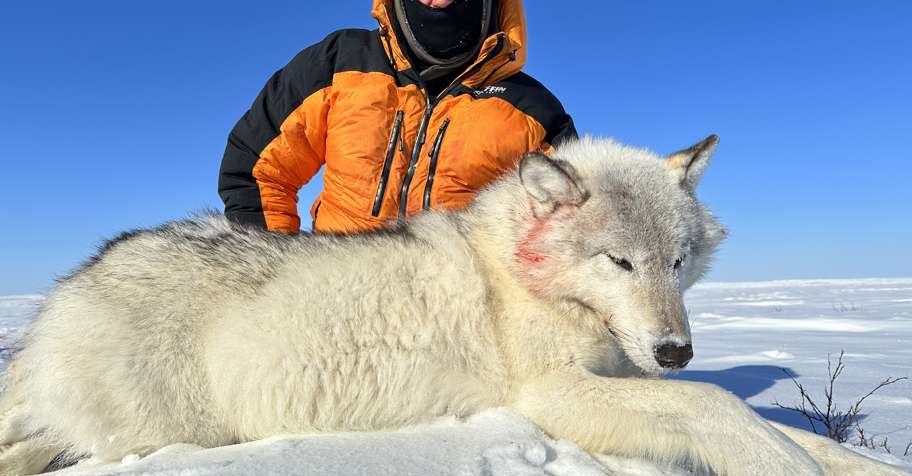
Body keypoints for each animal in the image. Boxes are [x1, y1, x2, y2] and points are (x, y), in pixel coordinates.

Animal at [0, 136, 906, 476]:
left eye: (678, 262)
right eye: (619, 261)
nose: (676, 352)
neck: (521, 272)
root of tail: (62, 296)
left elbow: (769, 421)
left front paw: (855, 465)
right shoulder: (551, 396)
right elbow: (723, 409)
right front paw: (782, 465)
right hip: (156, 433)